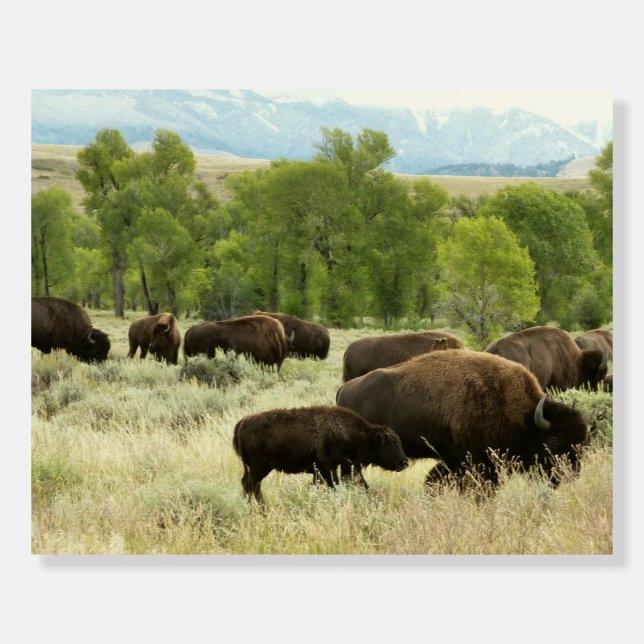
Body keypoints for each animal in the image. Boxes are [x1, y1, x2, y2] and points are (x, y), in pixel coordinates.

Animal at [232, 405, 409, 503]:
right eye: (392, 443)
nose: (405, 462)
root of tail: (242, 422)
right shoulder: (328, 467)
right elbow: (334, 485)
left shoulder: (334, 468)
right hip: (258, 467)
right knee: (251, 485)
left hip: (258, 468)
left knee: (250, 485)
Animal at [336, 349, 587, 486]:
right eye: (555, 441)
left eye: (581, 442)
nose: (572, 474)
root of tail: (344, 389)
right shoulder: (475, 460)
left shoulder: (455, 459)